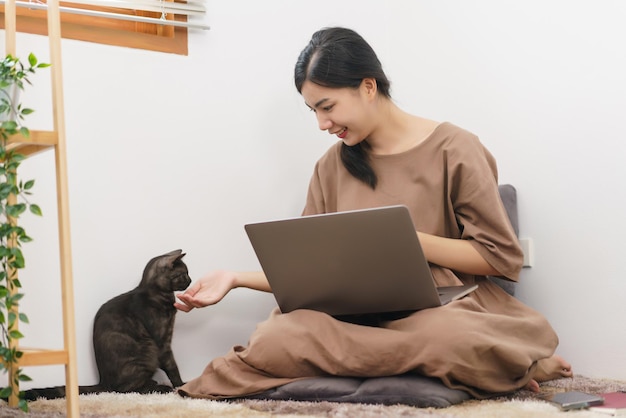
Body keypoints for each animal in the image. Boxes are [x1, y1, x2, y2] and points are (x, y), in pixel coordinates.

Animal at [23, 250, 190, 400]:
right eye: (183, 274)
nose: (190, 280)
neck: (158, 294)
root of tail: (103, 382)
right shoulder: (163, 343)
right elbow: (172, 366)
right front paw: (180, 385)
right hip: (147, 351)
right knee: (128, 389)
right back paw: (160, 387)